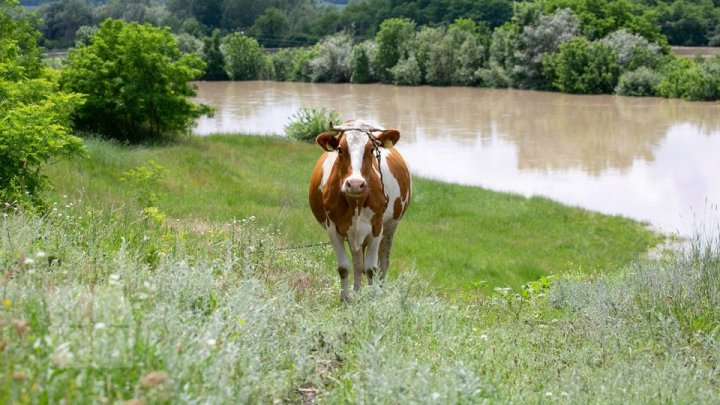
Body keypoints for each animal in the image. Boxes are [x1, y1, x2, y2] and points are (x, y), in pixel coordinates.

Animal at [308, 117, 410, 300]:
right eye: (340, 149)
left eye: (371, 149)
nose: (355, 184)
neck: (355, 203)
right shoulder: (333, 228)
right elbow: (344, 267)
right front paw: (346, 300)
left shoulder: (377, 227)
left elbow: (371, 268)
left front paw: (372, 300)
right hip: (354, 234)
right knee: (357, 263)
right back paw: (356, 293)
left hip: (390, 227)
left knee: (383, 262)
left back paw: (380, 291)